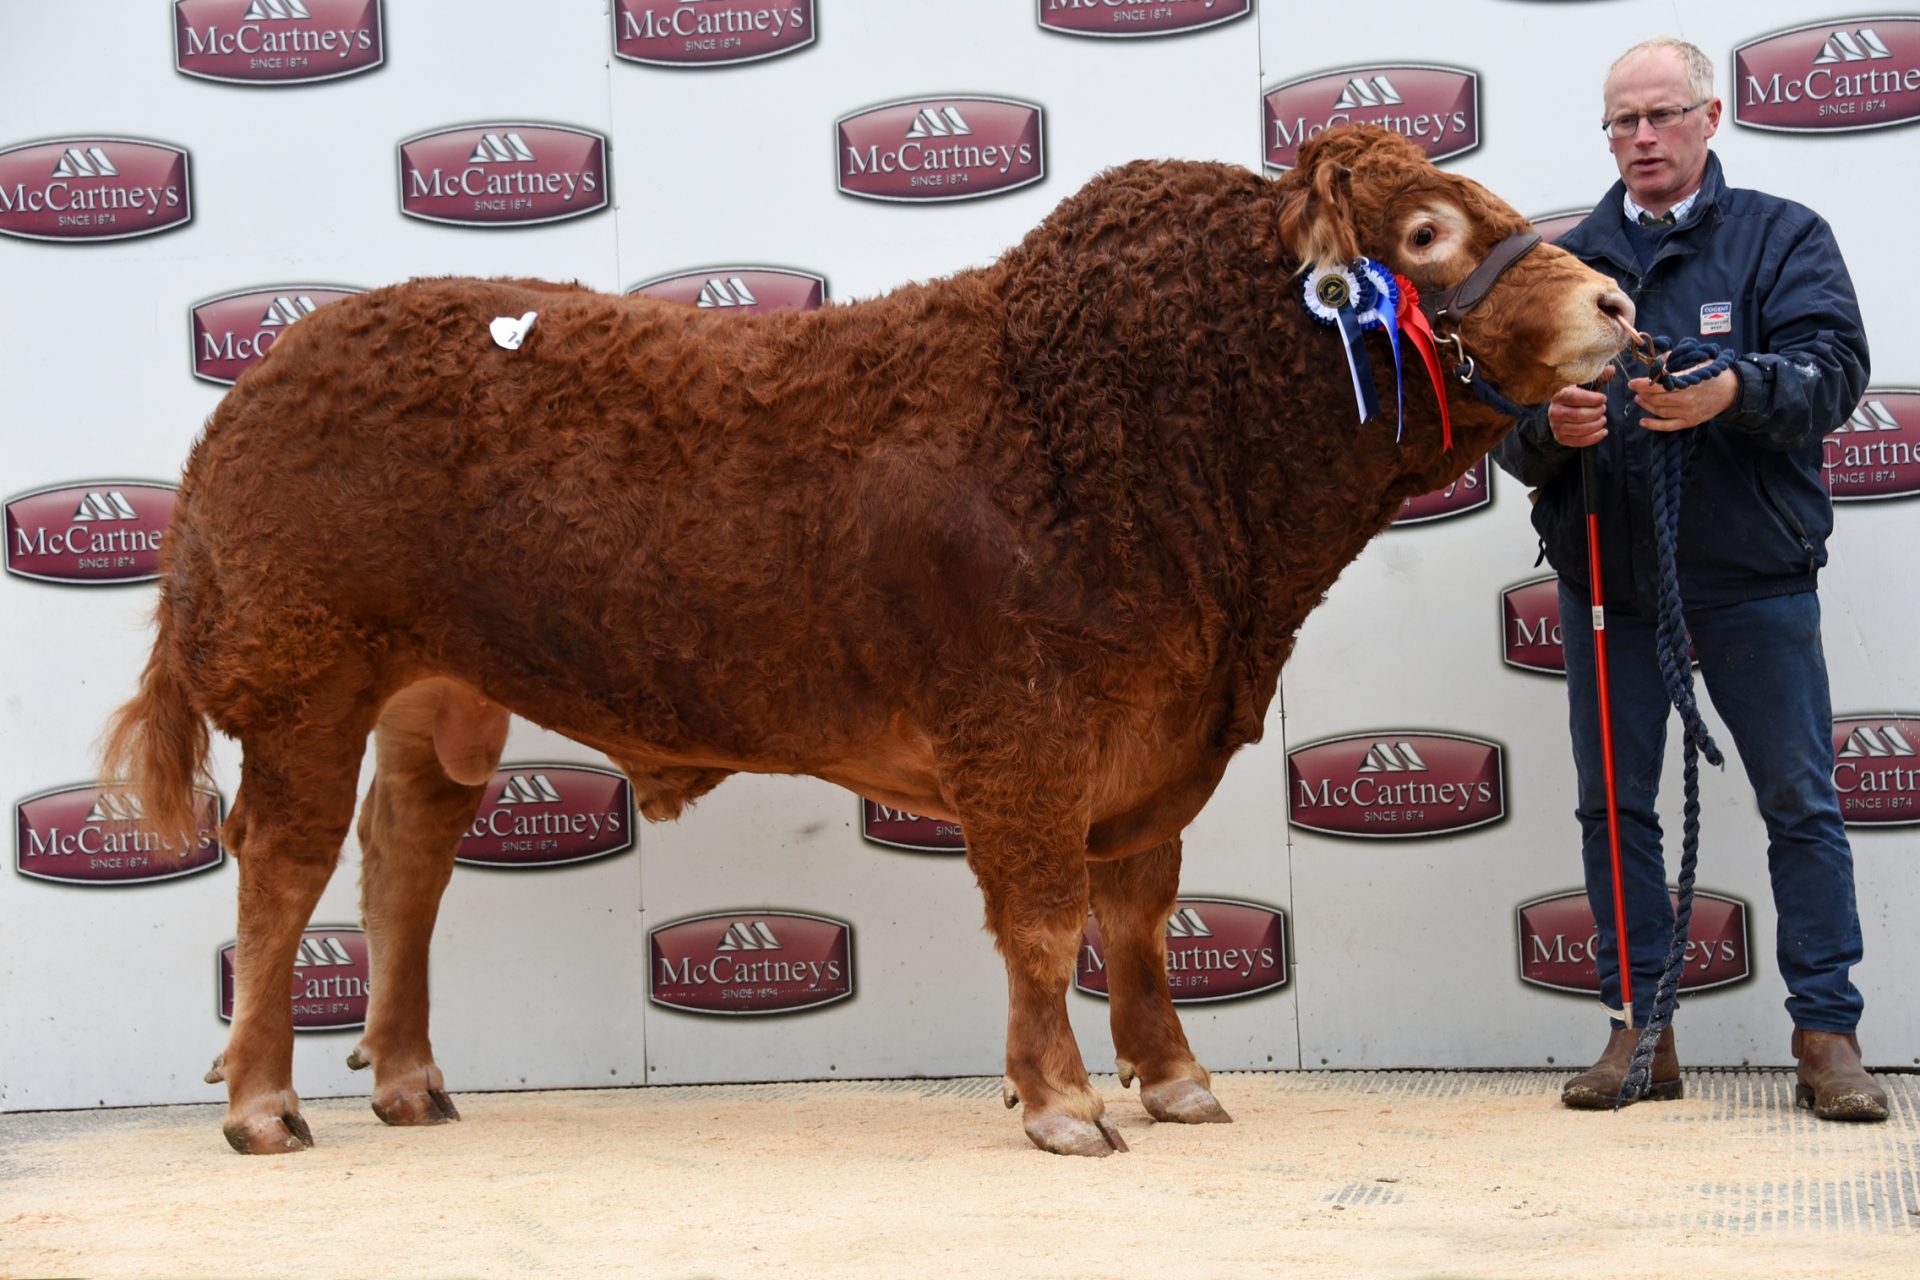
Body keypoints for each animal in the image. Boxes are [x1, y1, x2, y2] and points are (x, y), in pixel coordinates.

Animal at [102, 125, 1631, 1157]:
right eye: (1425, 233)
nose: (1614, 303)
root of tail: (264, 381)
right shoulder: (1025, 732)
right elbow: (1043, 922)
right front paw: (1063, 1102)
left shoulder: (1155, 744)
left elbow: (1137, 922)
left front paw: (1176, 1080)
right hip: (304, 681)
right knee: (283, 871)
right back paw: (263, 1103)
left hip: (439, 698)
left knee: (402, 866)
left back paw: (411, 1081)